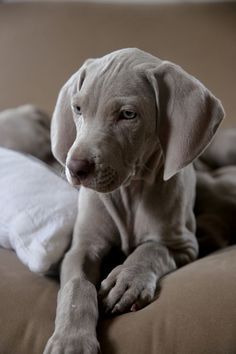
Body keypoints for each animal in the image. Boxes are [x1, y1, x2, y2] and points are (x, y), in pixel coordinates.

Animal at [44, 47, 225, 354]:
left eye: (128, 115)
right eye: (78, 109)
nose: (75, 167)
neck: (129, 192)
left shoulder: (184, 245)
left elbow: (153, 249)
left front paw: (128, 279)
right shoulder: (81, 247)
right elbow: (77, 286)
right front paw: (71, 340)